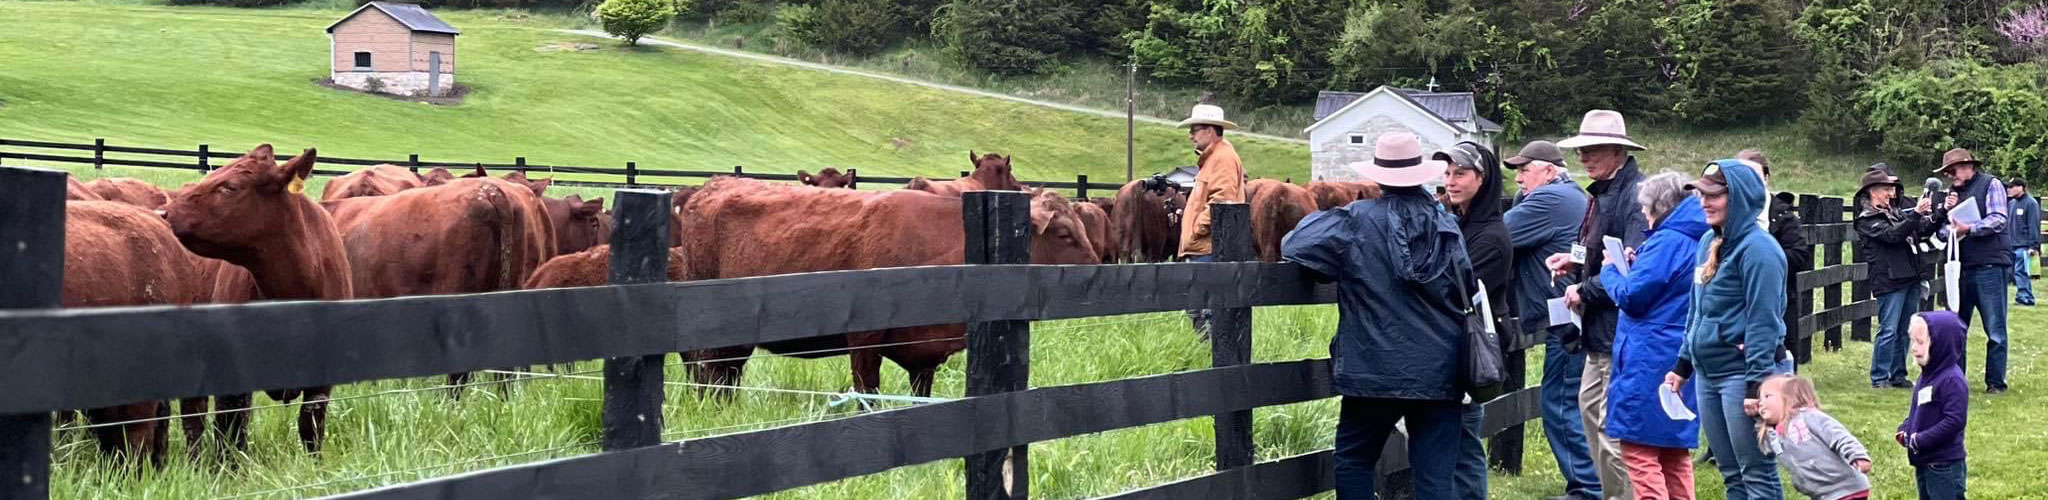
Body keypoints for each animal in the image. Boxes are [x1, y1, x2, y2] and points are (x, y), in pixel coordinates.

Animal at [679, 177, 1097, 395]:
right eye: (1064, 233)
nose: (1097, 269)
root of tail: (711, 185)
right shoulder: (864, 341)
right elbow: (868, 395)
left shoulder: (925, 354)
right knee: (708, 376)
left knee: (725, 378)